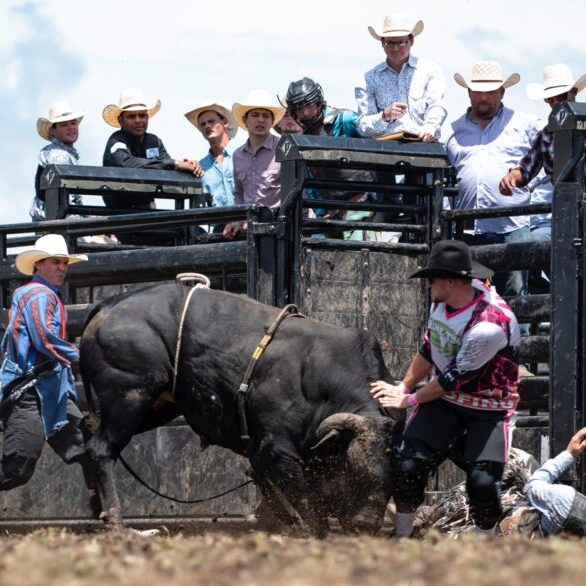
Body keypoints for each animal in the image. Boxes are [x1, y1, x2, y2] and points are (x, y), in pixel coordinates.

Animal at [81, 280, 402, 532]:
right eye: (355, 473)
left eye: (391, 482)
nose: (366, 526)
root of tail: (109, 305)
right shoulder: (278, 453)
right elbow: (309, 511)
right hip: (129, 397)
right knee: (102, 449)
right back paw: (115, 520)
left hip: (155, 407)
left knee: (87, 436)